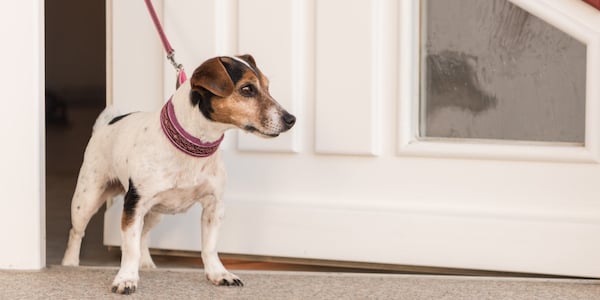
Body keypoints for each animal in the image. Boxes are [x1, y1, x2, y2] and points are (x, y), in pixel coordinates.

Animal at [61, 55, 296, 294]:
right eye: (247, 89)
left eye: (267, 87)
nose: (291, 119)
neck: (193, 148)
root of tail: (106, 124)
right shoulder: (134, 206)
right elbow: (129, 248)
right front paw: (126, 278)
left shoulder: (214, 206)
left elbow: (209, 247)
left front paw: (219, 274)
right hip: (86, 199)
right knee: (76, 232)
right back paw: (69, 265)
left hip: (156, 212)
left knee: (144, 235)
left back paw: (146, 264)